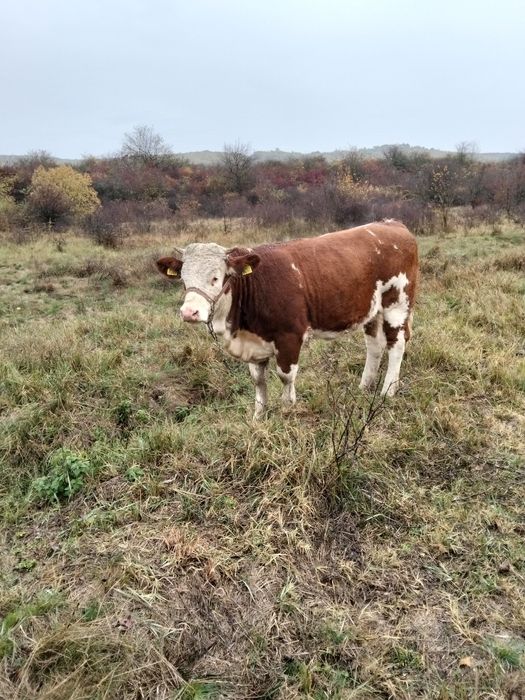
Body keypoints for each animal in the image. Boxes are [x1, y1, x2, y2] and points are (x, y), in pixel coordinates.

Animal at [157, 220, 419, 419]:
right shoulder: (254, 343)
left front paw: (287, 409)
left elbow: (285, 376)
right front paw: (259, 417)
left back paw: (387, 391)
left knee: (396, 344)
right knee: (374, 345)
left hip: (397, 303)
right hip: (371, 310)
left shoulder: (289, 336)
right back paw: (365, 387)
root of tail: (392, 224)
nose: (189, 312)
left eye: (215, 278)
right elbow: (258, 381)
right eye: (183, 280)